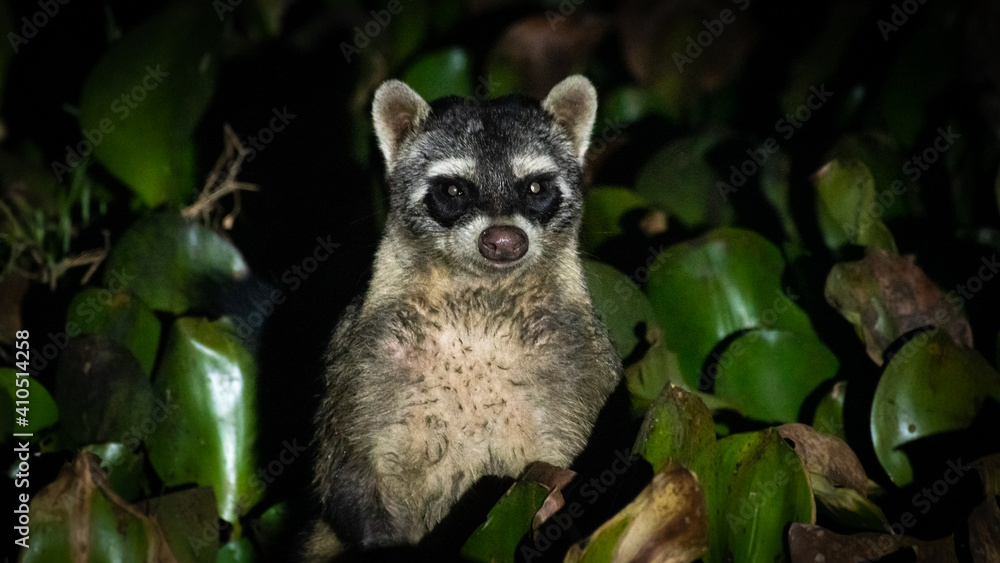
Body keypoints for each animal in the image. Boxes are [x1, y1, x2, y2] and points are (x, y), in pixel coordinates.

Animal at [309, 75, 622, 555]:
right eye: (454, 190)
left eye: (534, 188)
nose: (505, 240)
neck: (481, 302)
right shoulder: (363, 352)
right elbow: (344, 464)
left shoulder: (581, 356)